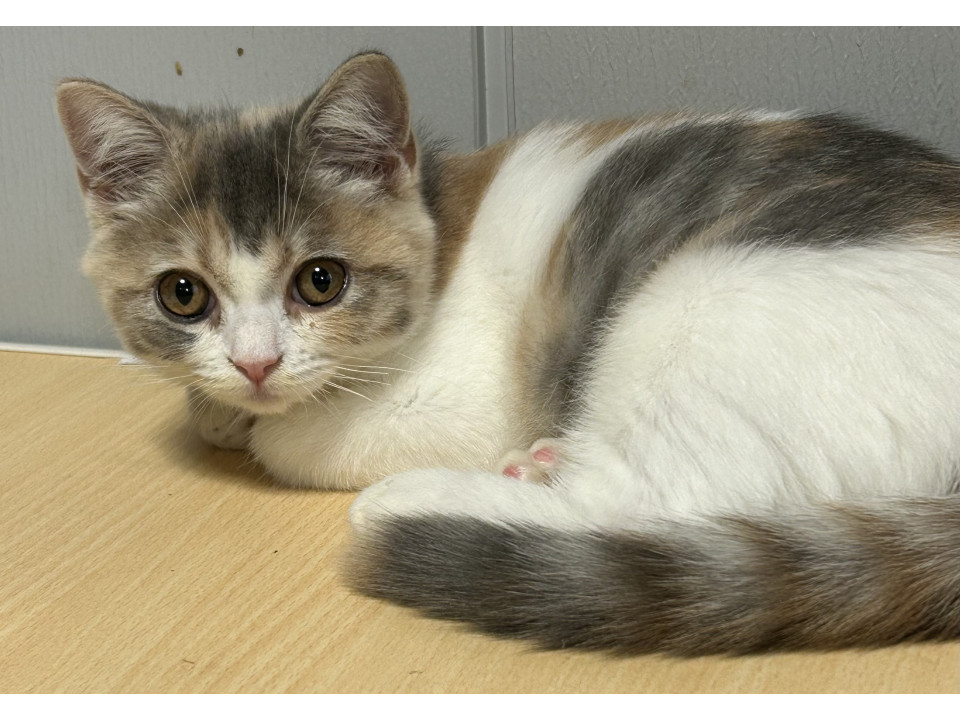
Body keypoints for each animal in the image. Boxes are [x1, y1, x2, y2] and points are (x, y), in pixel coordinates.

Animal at [57, 52, 959, 656]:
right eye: (183, 295)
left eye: (320, 282)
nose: (255, 365)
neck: (438, 234)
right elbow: (213, 409)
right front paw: (219, 409)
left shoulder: (472, 392)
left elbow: (295, 439)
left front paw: (266, 427)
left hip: (705, 302)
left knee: (646, 496)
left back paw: (424, 499)